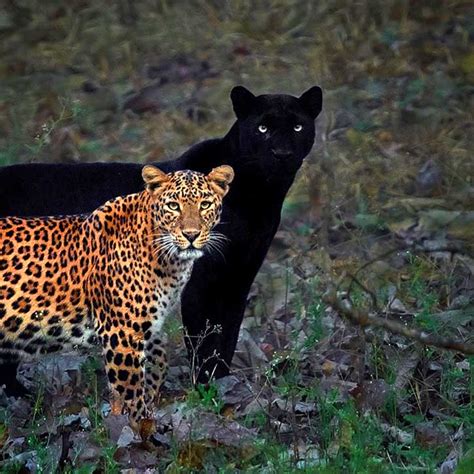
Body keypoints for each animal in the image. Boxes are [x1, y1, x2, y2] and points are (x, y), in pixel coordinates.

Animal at [0, 164, 233, 436]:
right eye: (173, 206)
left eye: (205, 204)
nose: (191, 235)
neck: (169, 261)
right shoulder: (122, 332)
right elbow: (131, 389)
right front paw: (141, 429)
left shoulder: (147, 325)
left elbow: (158, 362)